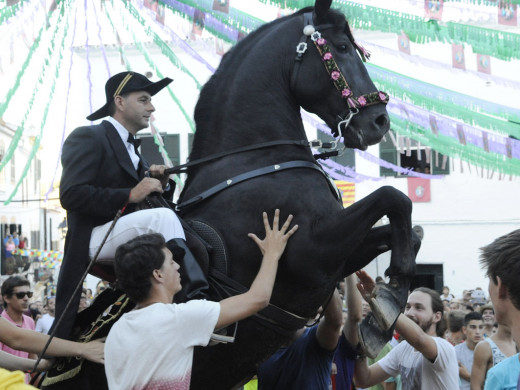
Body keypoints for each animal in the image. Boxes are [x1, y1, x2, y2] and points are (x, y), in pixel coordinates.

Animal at [178, 1, 418, 388]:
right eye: (342, 48)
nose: (380, 121)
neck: (258, 160)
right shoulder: (311, 252)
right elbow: (393, 196)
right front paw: (391, 299)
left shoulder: (335, 260)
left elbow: (412, 229)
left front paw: (387, 295)